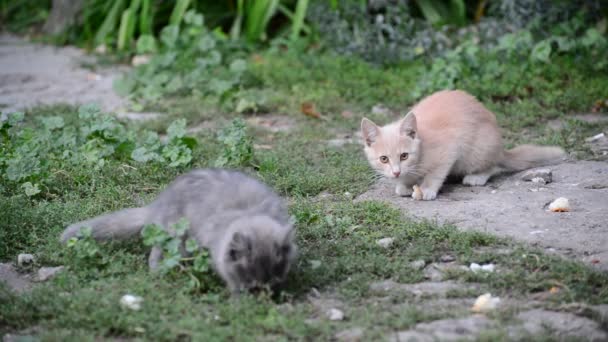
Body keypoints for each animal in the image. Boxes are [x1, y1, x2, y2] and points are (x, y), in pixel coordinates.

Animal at [61, 168, 296, 294]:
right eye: (249, 276)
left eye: (275, 275)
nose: (261, 291)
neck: (247, 213)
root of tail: (156, 206)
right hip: (175, 238)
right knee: (155, 255)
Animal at [360, 89, 564, 200]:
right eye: (384, 159)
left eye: (404, 156)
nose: (396, 172)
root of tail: (500, 148)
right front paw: (403, 184)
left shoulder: (450, 148)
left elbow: (436, 173)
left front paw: (426, 189)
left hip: (480, 149)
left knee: (493, 166)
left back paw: (477, 176)